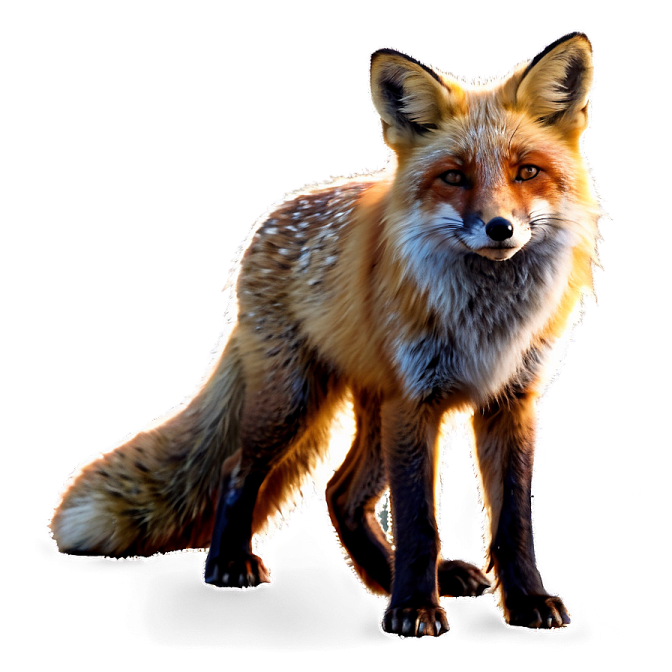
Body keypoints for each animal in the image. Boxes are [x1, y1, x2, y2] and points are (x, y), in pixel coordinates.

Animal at [47, 31, 606, 640]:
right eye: (454, 176)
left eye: (527, 172)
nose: (500, 228)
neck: (488, 321)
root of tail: (266, 223)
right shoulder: (416, 400)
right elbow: (418, 522)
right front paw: (414, 608)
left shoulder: (513, 400)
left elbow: (514, 523)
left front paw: (526, 601)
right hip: (295, 401)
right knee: (238, 469)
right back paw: (231, 563)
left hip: (370, 414)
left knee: (341, 494)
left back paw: (399, 578)